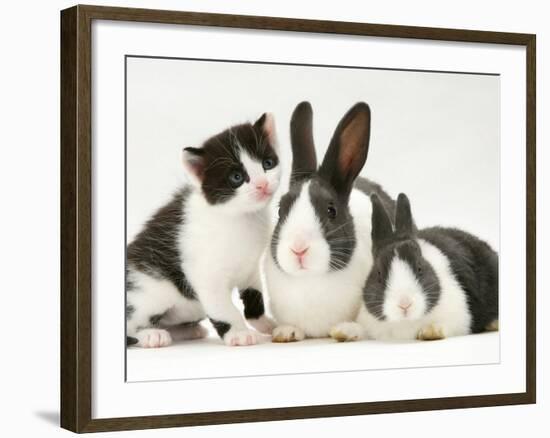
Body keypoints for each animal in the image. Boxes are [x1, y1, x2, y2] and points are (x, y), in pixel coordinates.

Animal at [127, 114, 282, 350]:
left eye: (268, 164)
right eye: (236, 177)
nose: (263, 184)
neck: (241, 217)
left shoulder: (250, 268)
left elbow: (254, 295)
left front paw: (264, 323)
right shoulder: (205, 275)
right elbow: (224, 308)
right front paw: (239, 333)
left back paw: (187, 330)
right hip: (147, 291)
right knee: (130, 323)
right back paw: (152, 335)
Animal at [264, 102, 396, 342]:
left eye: (331, 210)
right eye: (280, 210)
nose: (298, 248)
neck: (311, 279)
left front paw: (347, 331)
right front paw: (287, 332)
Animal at [356, 192, 502, 342]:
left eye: (420, 268)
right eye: (379, 274)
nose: (404, 304)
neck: (406, 322)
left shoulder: (460, 316)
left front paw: (430, 332)